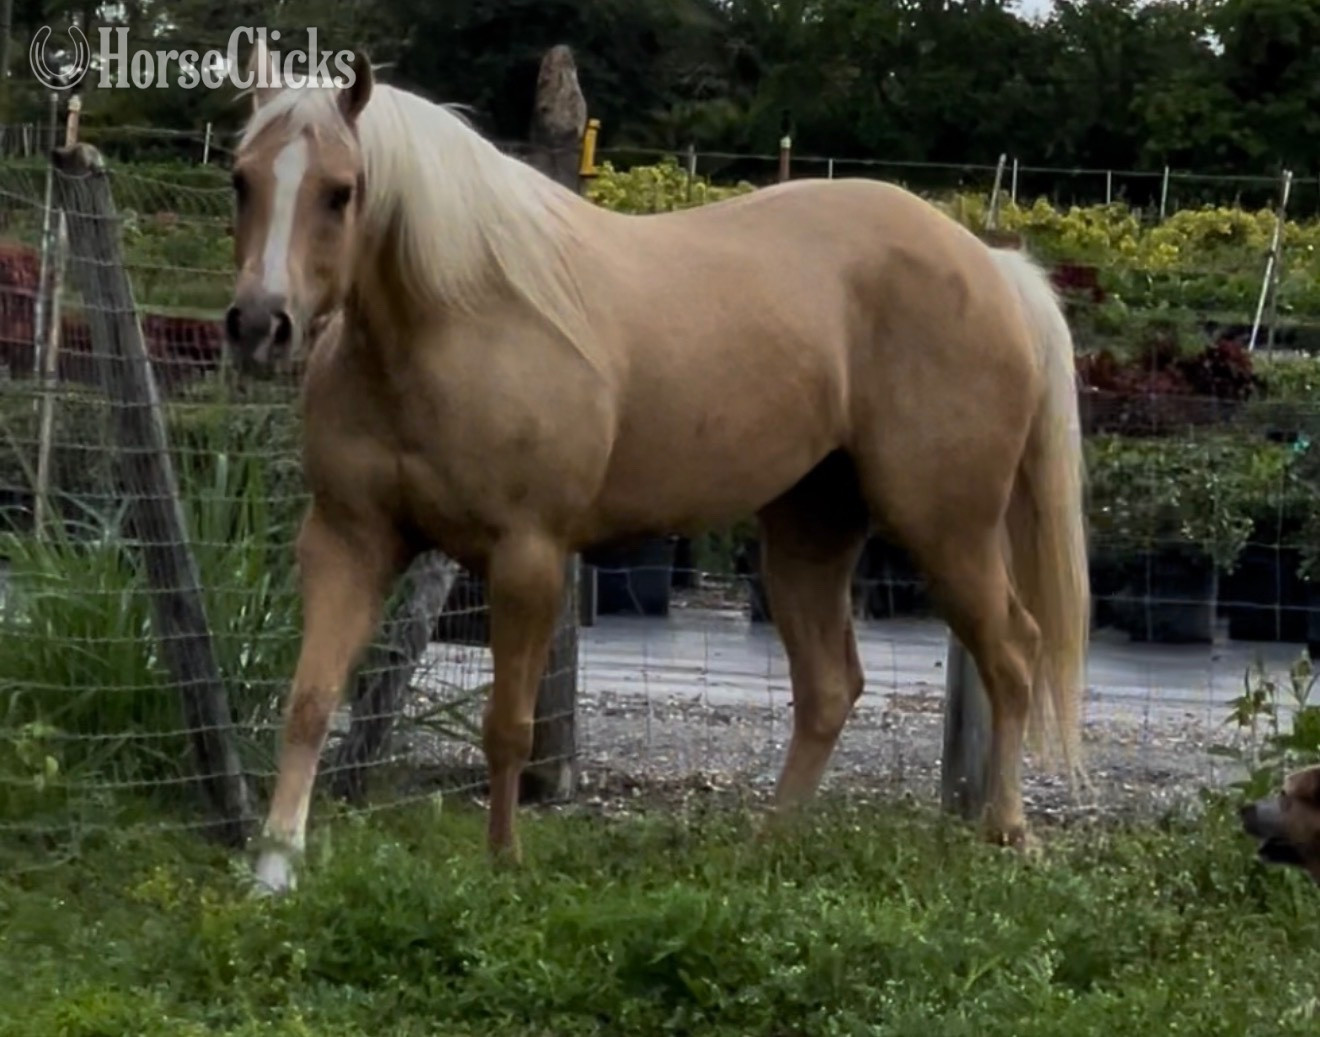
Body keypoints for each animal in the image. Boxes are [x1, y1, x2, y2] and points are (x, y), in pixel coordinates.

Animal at [224, 49, 1090, 893]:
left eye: (340, 193)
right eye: (242, 178)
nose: (261, 324)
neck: (461, 320)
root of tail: (990, 266)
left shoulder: (528, 556)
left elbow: (507, 725)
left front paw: (504, 864)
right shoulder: (347, 541)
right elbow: (309, 701)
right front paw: (274, 867)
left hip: (948, 529)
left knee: (1013, 653)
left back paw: (1008, 832)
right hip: (809, 532)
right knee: (830, 688)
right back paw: (766, 848)